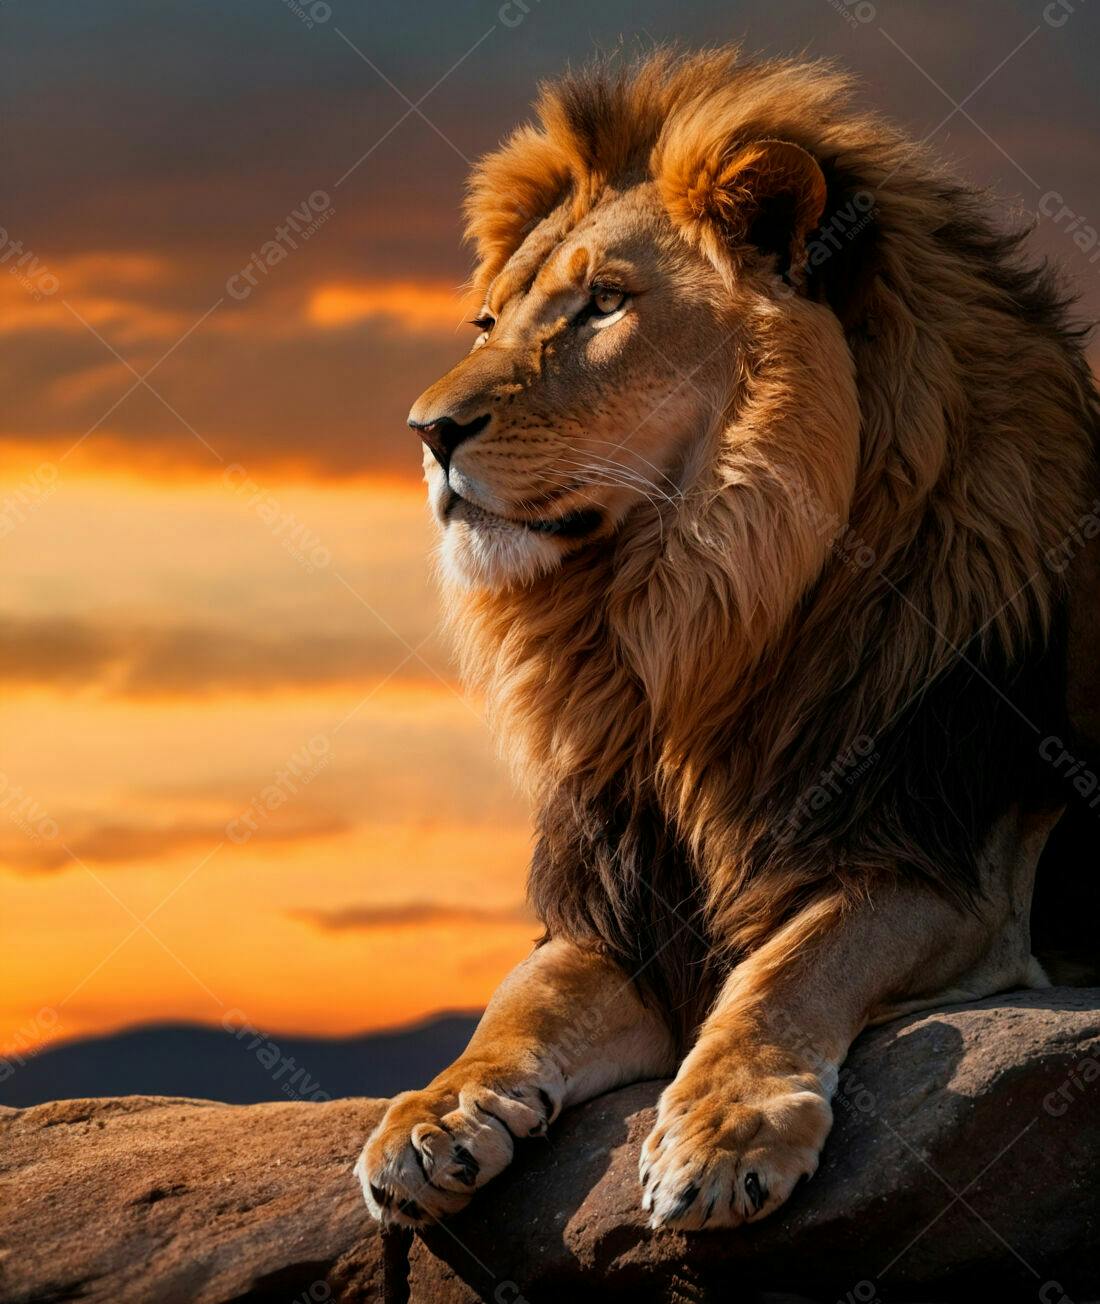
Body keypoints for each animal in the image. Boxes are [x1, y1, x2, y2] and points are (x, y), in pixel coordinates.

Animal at [356, 46, 1100, 1231]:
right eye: (487, 323)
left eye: (603, 305)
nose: (428, 432)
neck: (696, 623)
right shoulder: (620, 907)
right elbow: (516, 1005)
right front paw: (432, 1117)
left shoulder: (949, 871)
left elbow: (789, 967)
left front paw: (725, 1128)